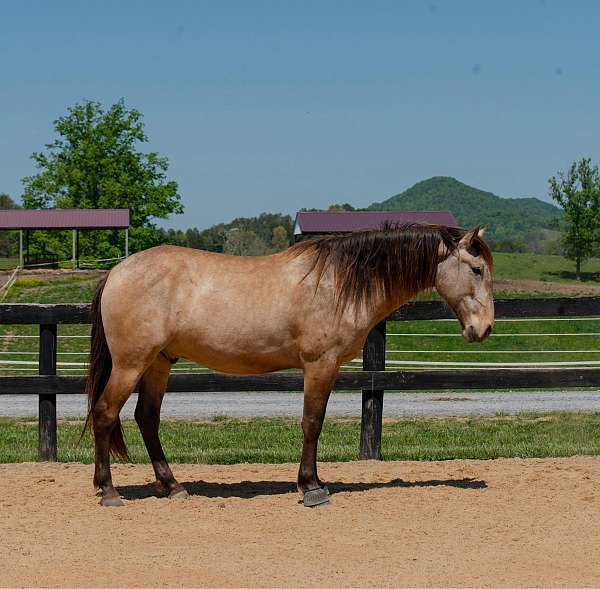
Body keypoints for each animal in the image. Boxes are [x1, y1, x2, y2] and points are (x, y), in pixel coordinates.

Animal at [86, 223, 494, 508]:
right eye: (476, 269)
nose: (485, 328)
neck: (339, 282)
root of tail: (116, 272)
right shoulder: (319, 365)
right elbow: (312, 422)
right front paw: (311, 486)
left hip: (159, 363)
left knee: (146, 418)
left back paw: (172, 486)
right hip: (131, 364)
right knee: (105, 413)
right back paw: (109, 491)